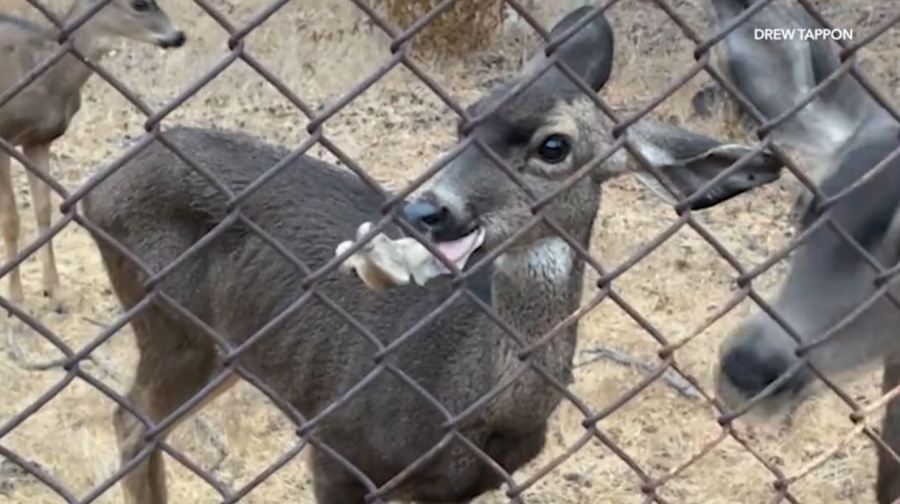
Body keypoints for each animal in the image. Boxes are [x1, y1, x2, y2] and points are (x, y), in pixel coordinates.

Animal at [0, 0, 184, 309]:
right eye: (138, 4)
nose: (179, 35)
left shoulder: (38, 140)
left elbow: (43, 210)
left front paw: (55, 292)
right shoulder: (3, 137)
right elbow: (10, 218)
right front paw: (15, 299)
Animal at [83, 6, 783, 503]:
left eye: (554, 146)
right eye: (466, 118)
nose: (428, 211)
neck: (464, 405)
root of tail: (99, 187)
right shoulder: (338, 447)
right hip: (170, 320)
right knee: (131, 421)